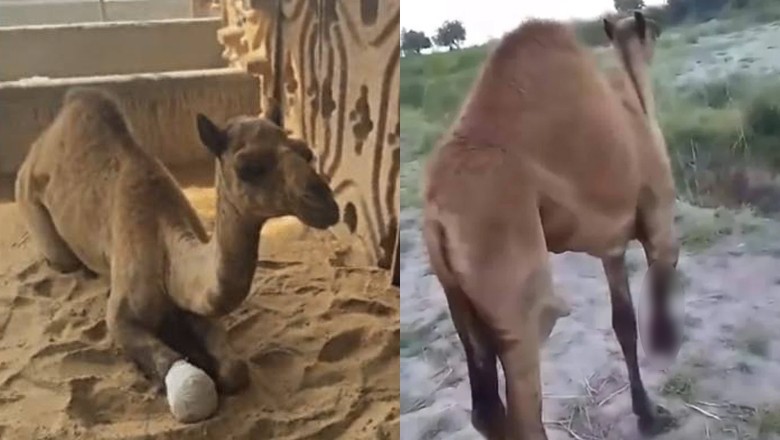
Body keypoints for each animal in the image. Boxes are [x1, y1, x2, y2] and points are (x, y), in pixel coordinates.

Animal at [15, 86, 340, 422]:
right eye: (248, 168)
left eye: (306, 152)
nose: (324, 202)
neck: (166, 252)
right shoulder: (120, 317)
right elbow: (187, 378)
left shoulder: (200, 306)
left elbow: (235, 369)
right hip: (29, 201)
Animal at [421, 12, 681, 439]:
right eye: (654, 27)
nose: (660, 29)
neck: (634, 107)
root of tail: (437, 214)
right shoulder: (659, 212)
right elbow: (662, 273)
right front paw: (666, 347)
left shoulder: (610, 247)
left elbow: (623, 324)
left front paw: (646, 414)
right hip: (514, 282)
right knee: (526, 397)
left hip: (455, 292)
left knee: (487, 406)